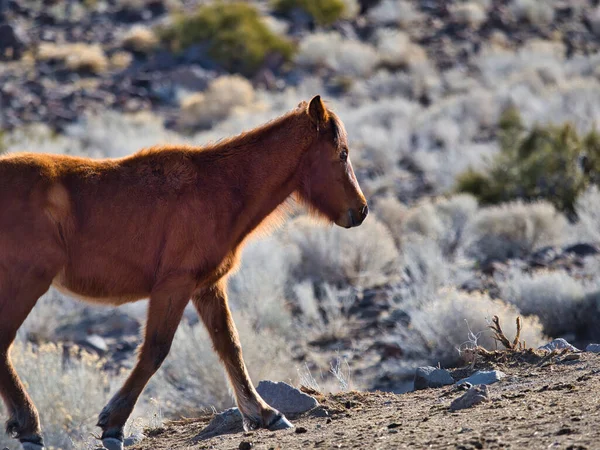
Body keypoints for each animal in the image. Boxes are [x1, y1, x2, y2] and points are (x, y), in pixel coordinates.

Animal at [0, 94, 366, 446]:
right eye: (342, 153)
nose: (360, 211)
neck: (221, 188)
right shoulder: (174, 286)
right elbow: (155, 350)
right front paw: (113, 425)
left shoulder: (207, 288)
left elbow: (230, 346)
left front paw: (264, 413)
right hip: (26, 284)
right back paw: (30, 427)